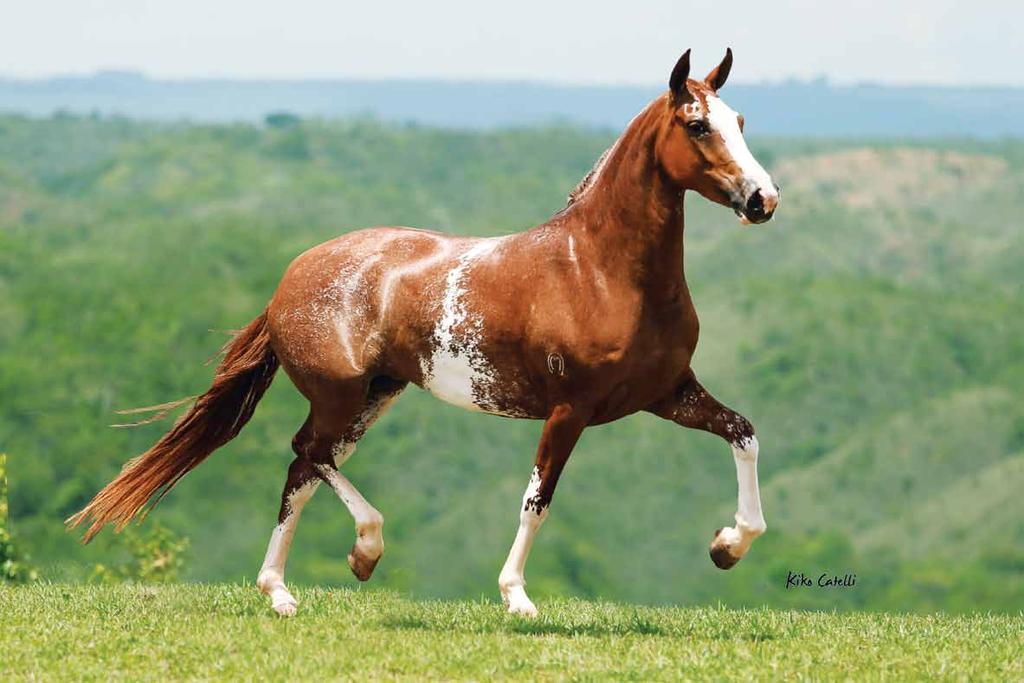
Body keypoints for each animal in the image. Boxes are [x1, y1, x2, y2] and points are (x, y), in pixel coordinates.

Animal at [70, 45, 774, 618]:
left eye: (739, 121)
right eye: (696, 124)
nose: (763, 200)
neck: (598, 269)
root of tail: (287, 283)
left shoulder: (664, 393)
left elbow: (743, 433)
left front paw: (727, 546)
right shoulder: (569, 409)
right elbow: (538, 498)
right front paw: (516, 598)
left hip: (373, 395)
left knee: (303, 469)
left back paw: (282, 591)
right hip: (340, 395)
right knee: (307, 453)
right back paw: (361, 553)